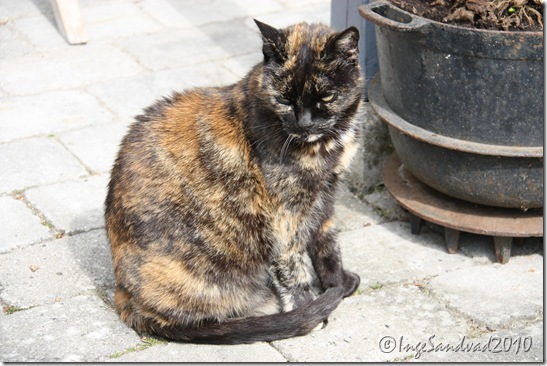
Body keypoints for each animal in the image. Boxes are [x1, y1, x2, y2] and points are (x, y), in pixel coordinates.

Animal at [106, 19, 364, 346]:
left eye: (326, 98)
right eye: (284, 99)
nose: (303, 123)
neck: (327, 146)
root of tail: (125, 297)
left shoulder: (325, 196)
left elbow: (328, 244)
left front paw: (339, 283)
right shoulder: (285, 217)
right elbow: (294, 267)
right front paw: (311, 310)